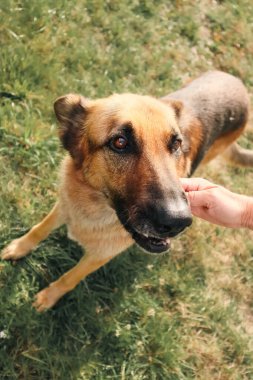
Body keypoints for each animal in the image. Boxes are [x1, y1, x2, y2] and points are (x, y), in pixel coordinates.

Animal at [1, 72, 253, 312]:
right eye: (120, 142)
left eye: (176, 144)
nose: (178, 221)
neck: (95, 207)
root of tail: (236, 83)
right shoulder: (64, 206)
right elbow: (39, 229)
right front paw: (19, 247)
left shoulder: (98, 257)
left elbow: (70, 278)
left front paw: (49, 297)